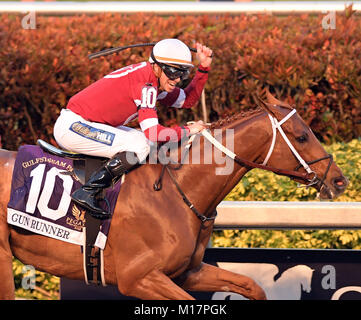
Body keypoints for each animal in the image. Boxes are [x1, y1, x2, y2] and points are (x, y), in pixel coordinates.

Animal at [0, 93, 346, 300]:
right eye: (302, 136)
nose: (339, 180)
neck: (176, 191)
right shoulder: (138, 277)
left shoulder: (187, 272)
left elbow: (252, 286)